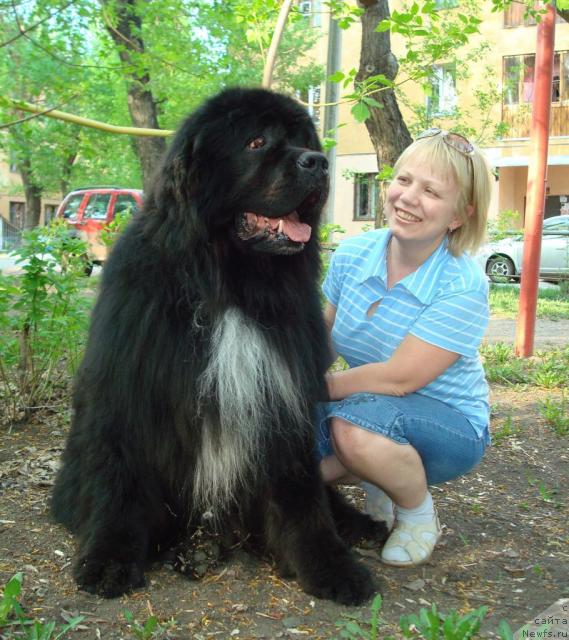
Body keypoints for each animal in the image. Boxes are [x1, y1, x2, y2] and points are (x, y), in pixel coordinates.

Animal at [51, 86, 386, 604]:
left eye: (301, 140)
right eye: (256, 142)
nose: (317, 162)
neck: (229, 286)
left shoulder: (281, 402)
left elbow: (303, 500)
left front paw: (330, 565)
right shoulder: (128, 394)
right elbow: (118, 481)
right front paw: (108, 559)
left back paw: (360, 525)